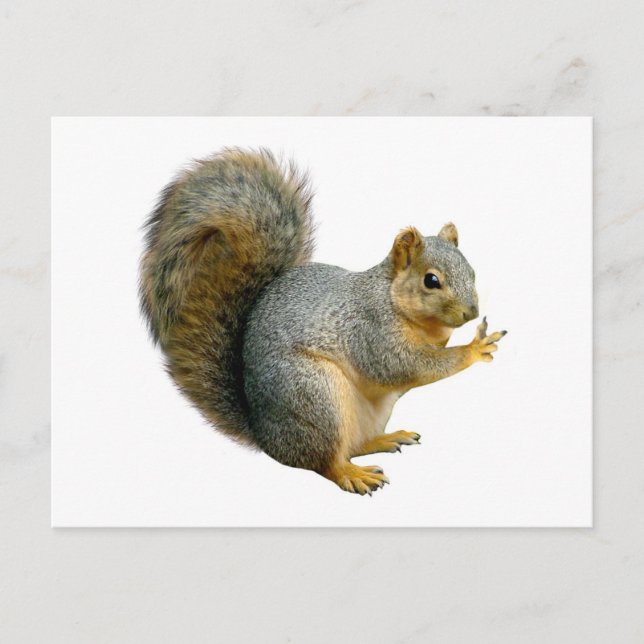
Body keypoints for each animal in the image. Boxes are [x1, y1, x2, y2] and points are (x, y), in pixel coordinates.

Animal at [139, 148, 507, 495]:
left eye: (471, 271)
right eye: (431, 281)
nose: (471, 312)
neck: (393, 299)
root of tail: (265, 436)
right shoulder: (370, 330)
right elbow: (403, 366)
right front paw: (473, 348)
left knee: (355, 445)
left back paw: (385, 439)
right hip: (314, 395)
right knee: (324, 462)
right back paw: (352, 475)